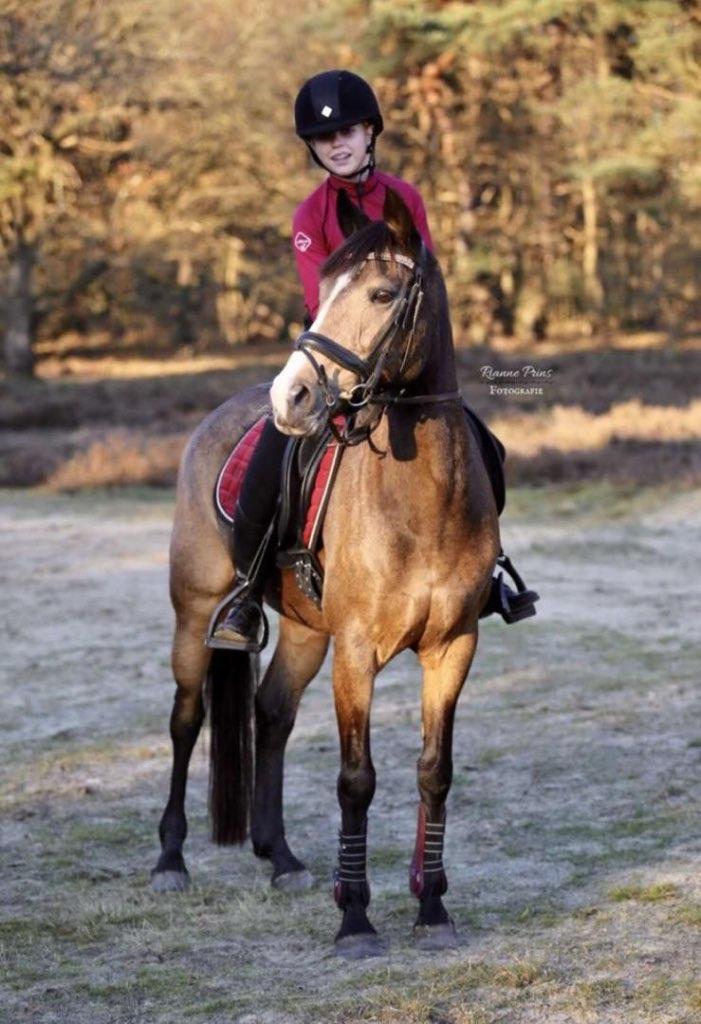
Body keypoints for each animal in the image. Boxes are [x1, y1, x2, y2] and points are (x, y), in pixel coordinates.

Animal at [151, 188, 501, 957]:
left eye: (381, 293)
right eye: (325, 291)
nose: (294, 398)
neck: (422, 502)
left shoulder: (453, 646)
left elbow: (434, 772)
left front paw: (431, 905)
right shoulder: (356, 652)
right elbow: (355, 780)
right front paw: (356, 920)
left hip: (307, 632)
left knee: (271, 713)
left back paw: (279, 857)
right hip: (195, 614)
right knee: (187, 718)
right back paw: (170, 860)